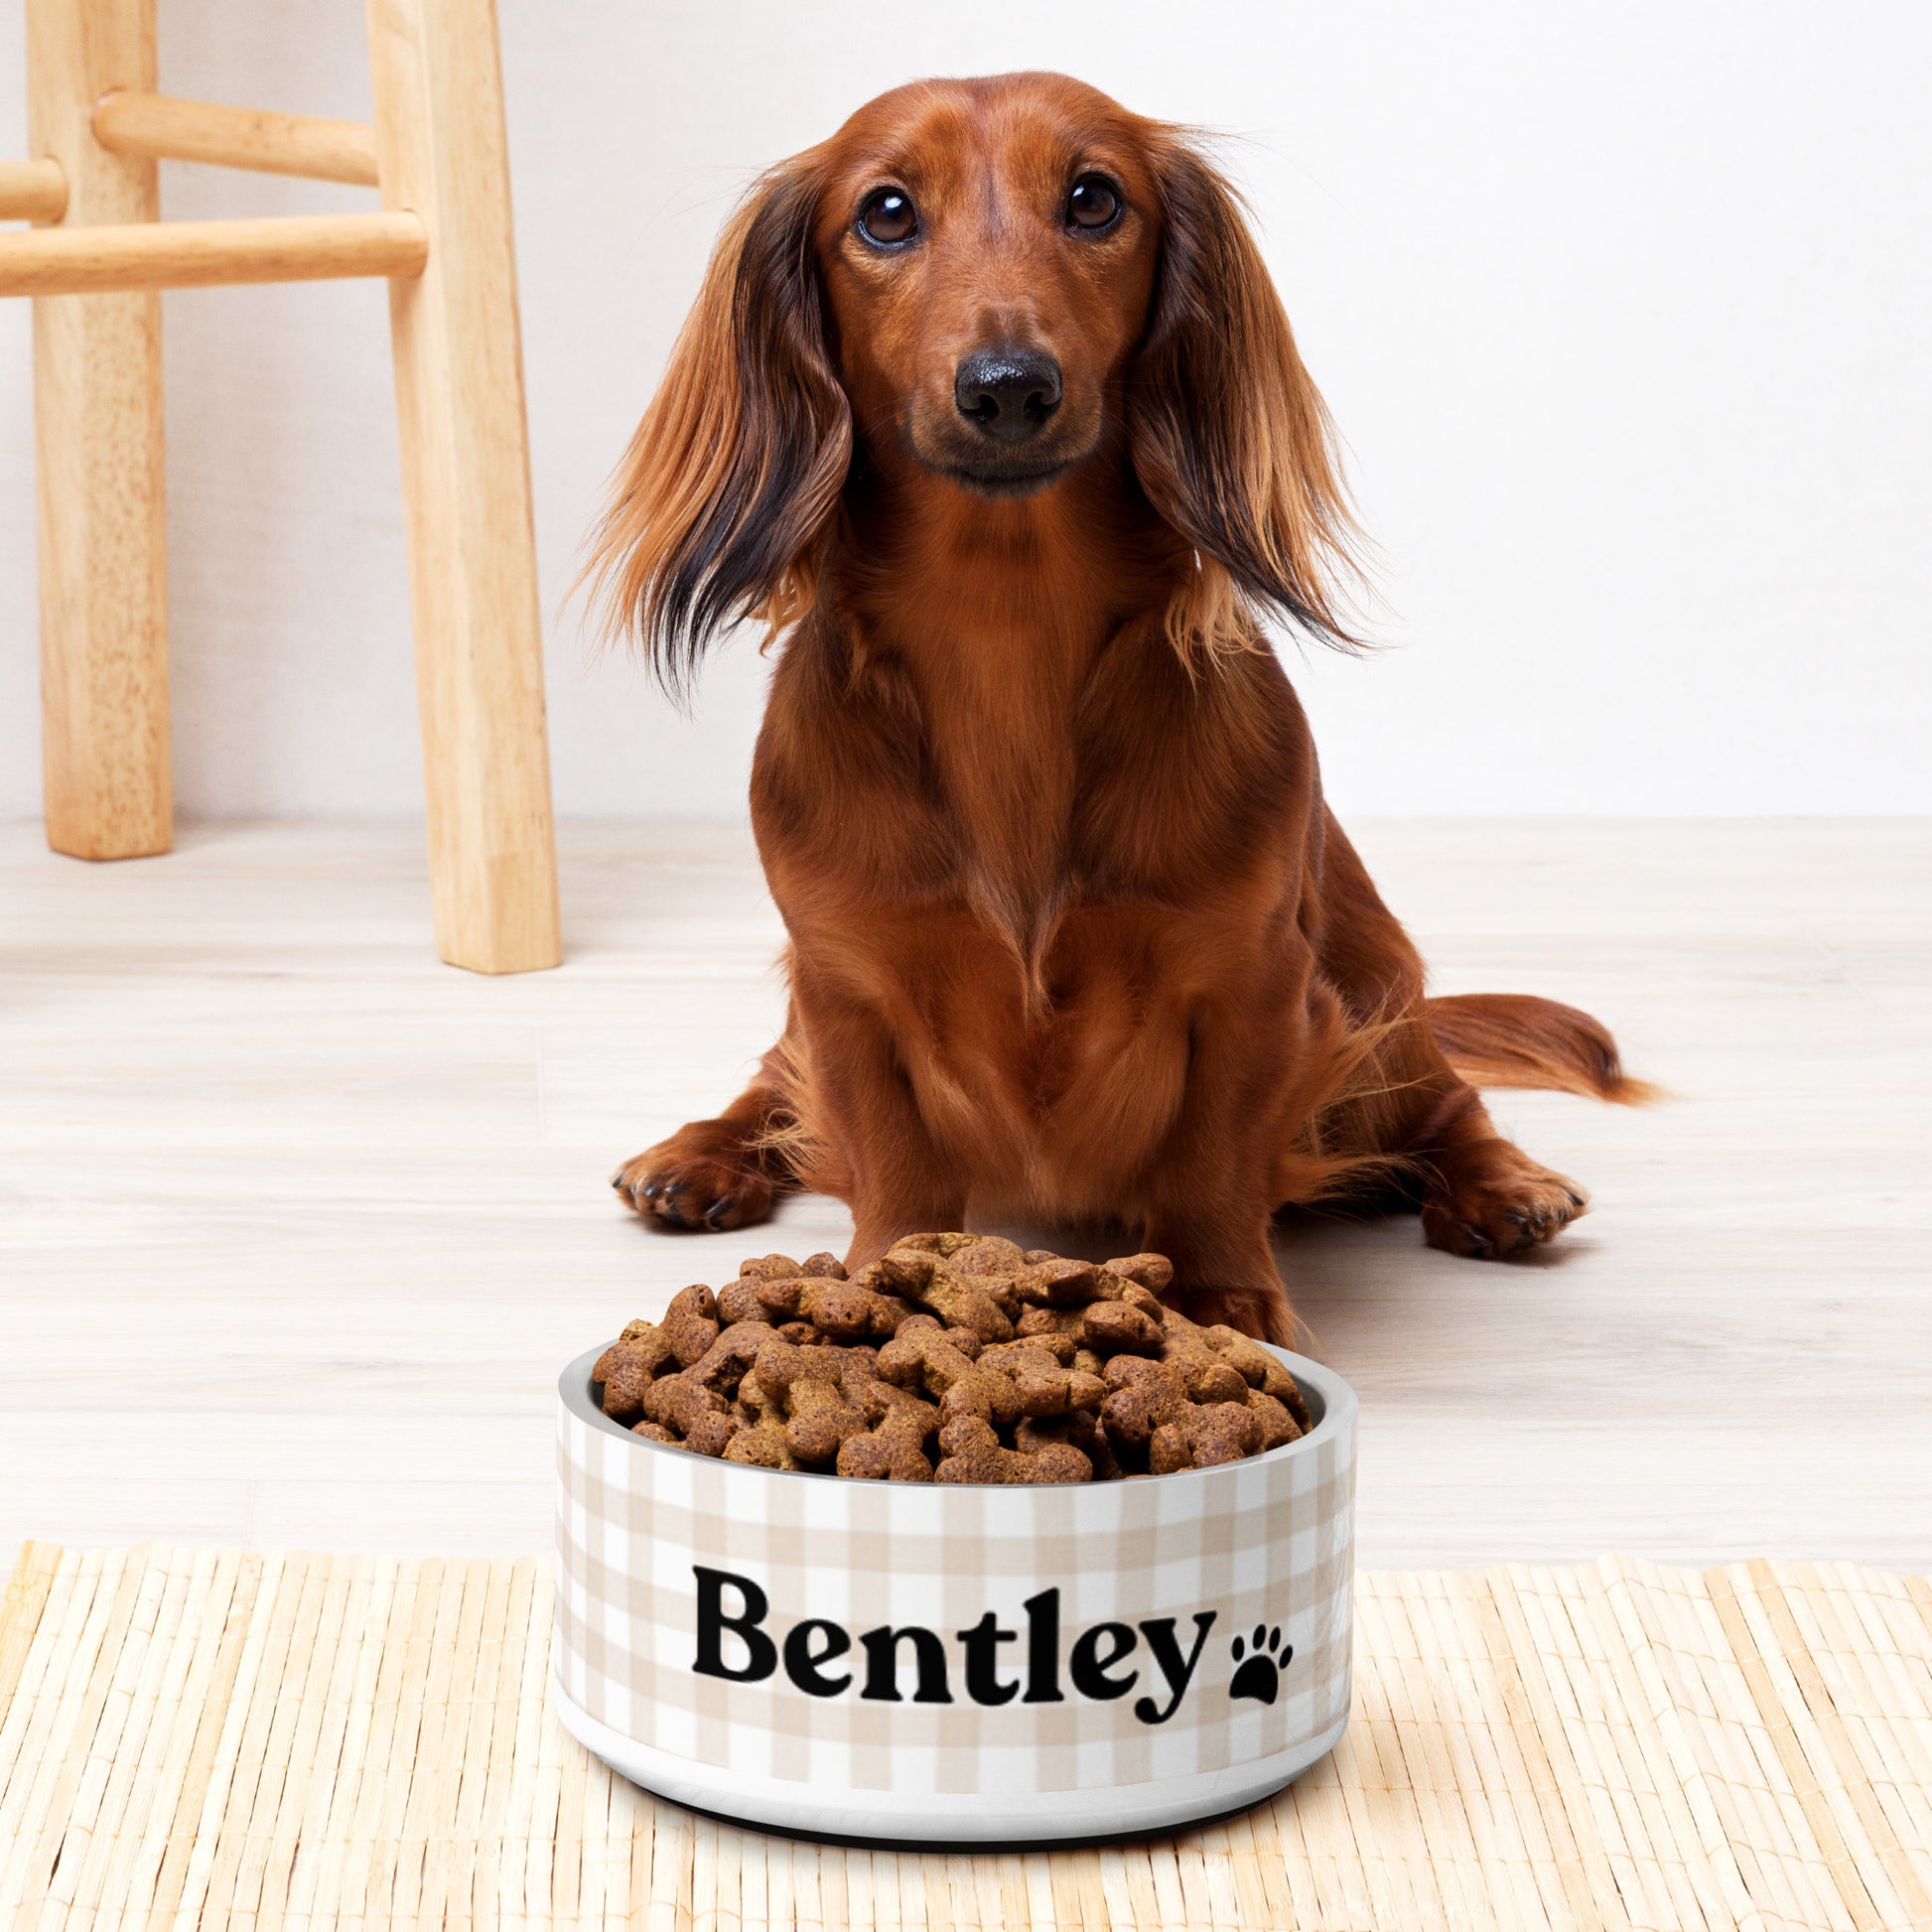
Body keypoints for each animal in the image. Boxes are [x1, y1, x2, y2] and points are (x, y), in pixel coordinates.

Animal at [587, 74, 1645, 1344]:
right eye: (884, 213)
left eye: (1094, 198)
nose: (1006, 388)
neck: (1005, 633)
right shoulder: (845, 983)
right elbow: (888, 1157)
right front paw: (884, 1282)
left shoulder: (1252, 980)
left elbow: (1210, 1159)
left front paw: (1225, 1297)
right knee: (770, 1085)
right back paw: (700, 1153)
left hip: (1374, 994)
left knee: (1445, 1100)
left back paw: (1501, 1183)